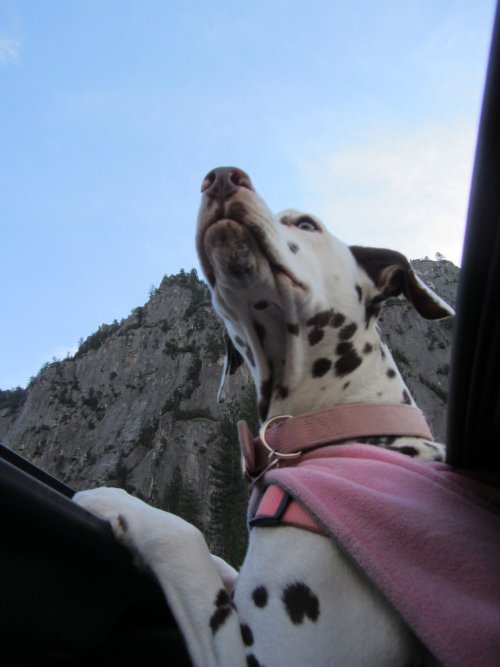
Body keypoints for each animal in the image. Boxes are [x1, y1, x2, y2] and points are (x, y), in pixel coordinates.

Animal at [74, 168, 454, 667]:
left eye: (306, 224)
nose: (220, 177)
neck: (345, 424)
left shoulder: (267, 653)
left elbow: (185, 535)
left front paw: (110, 498)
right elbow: (221, 563)